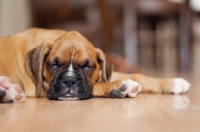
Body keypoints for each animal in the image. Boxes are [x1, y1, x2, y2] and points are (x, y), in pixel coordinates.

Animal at [0, 28, 191, 103]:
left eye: (87, 66)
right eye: (53, 64)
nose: (69, 81)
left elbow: (137, 75)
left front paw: (172, 82)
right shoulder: (37, 90)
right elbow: (98, 84)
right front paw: (118, 86)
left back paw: (7, 91)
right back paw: (7, 90)